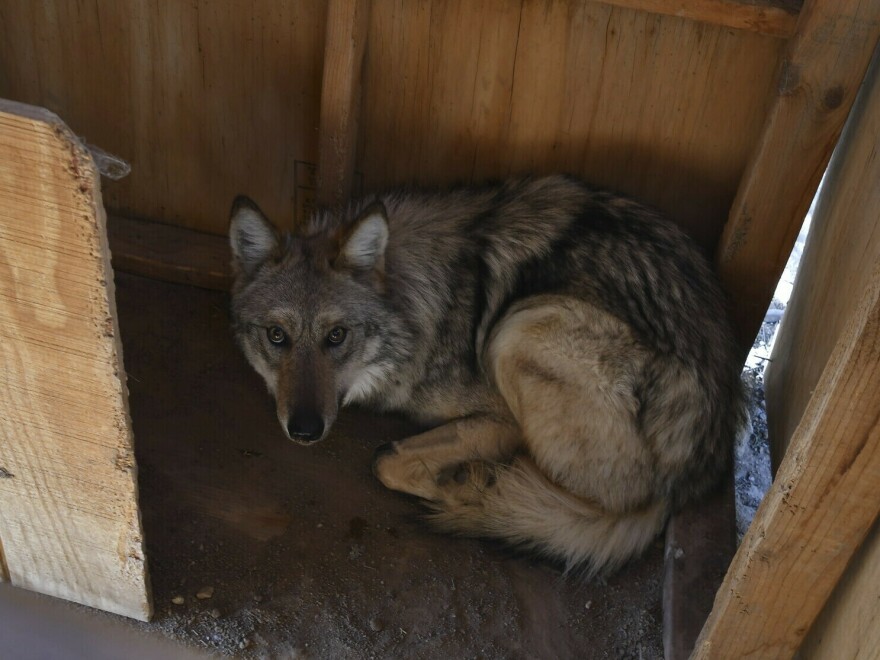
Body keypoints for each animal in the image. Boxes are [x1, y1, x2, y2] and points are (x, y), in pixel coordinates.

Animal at [229, 173, 748, 576]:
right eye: (277, 336)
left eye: (336, 336)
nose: (304, 430)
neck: (419, 303)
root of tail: (685, 482)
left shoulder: (502, 418)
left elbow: (386, 462)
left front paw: (455, 477)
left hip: (520, 329)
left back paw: (476, 486)